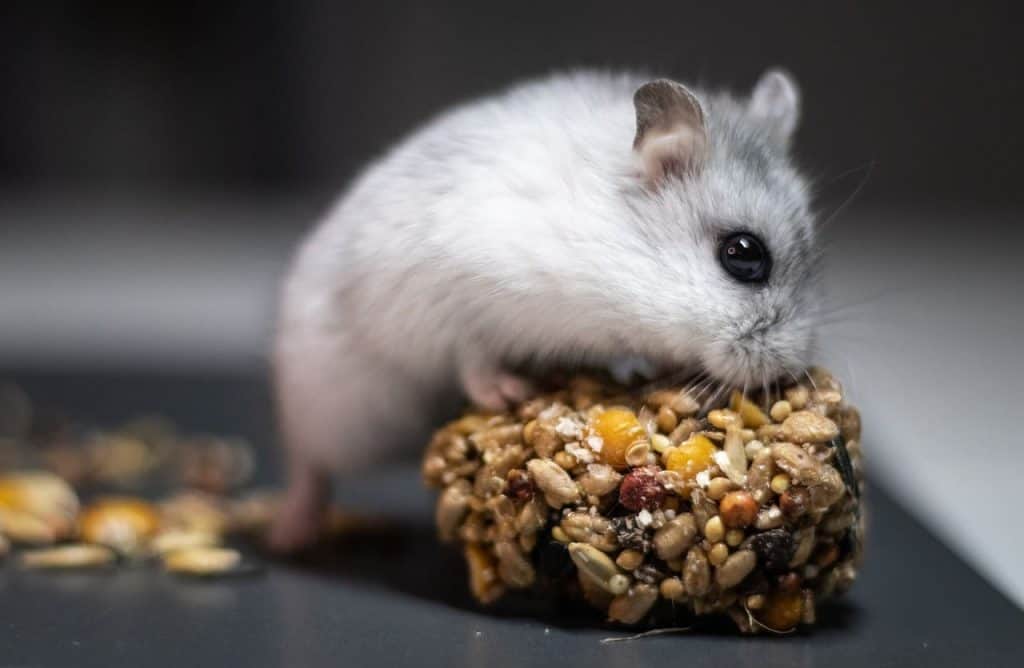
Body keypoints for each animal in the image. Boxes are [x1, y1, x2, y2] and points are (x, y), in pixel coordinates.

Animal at [270, 69, 819, 550]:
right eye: (743, 255)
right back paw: (289, 532)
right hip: (331, 405)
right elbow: (472, 359)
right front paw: (510, 392)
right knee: (307, 465)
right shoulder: (460, 298)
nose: (789, 372)